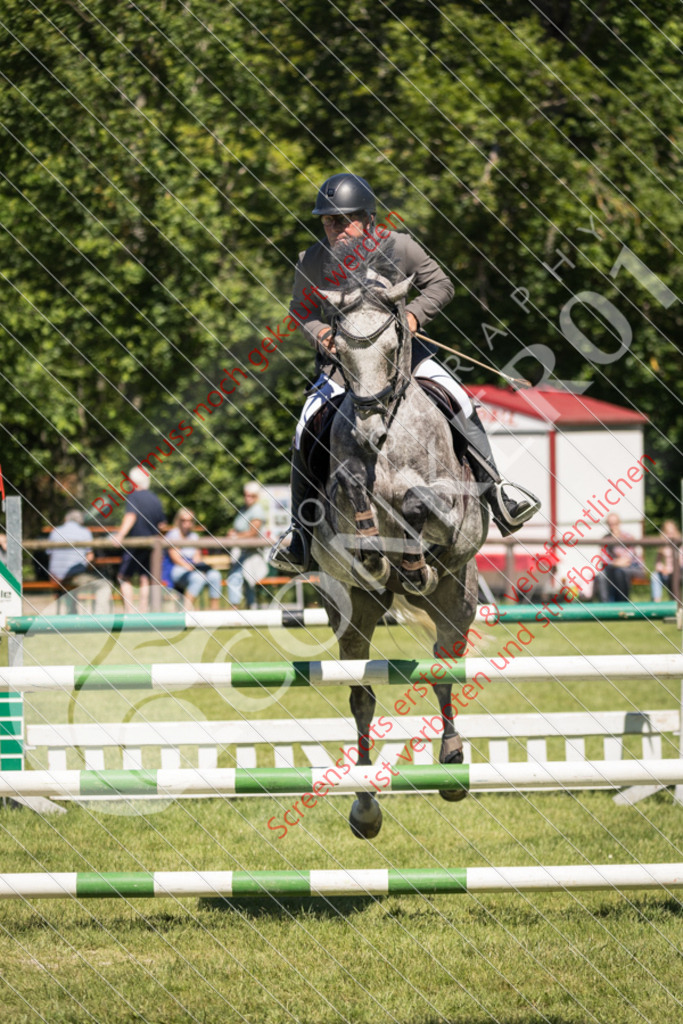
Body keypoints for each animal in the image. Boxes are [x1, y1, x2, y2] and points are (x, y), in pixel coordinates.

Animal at [313, 268, 489, 835]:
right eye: (340, 350)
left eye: (393, 348)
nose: (368, 431)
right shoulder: (335, 509)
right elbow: (352, 490)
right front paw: (374, 548)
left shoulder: (456, 512)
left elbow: (417, 501)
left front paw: (411, 557)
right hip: (352, 612)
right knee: (362, 695)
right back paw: (365, 802)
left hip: (457, 600)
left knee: (443, 667)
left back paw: (452, 761)